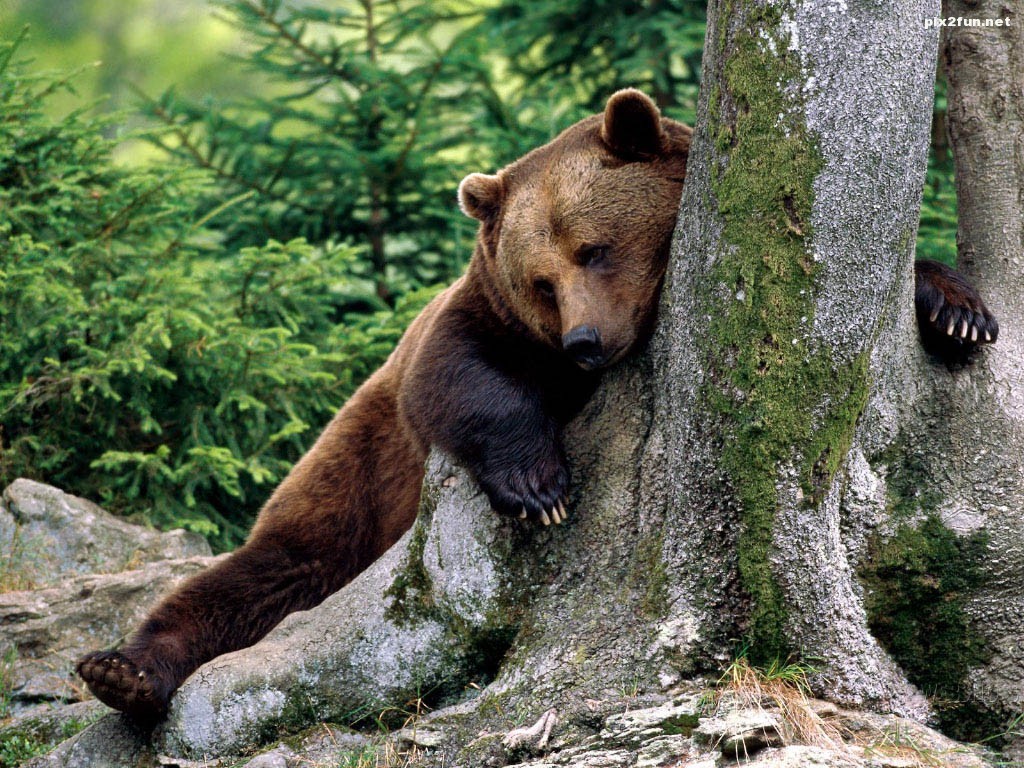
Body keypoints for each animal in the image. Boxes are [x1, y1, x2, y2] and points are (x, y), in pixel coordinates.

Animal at [76, 89, 997, 723]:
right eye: (541, 280)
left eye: (595, 247)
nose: (586, 342)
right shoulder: (480, 323)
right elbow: (458, 375)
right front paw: (538, 487)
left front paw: (958, 311)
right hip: (350, 482)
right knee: (261, 575)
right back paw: (123, 670)